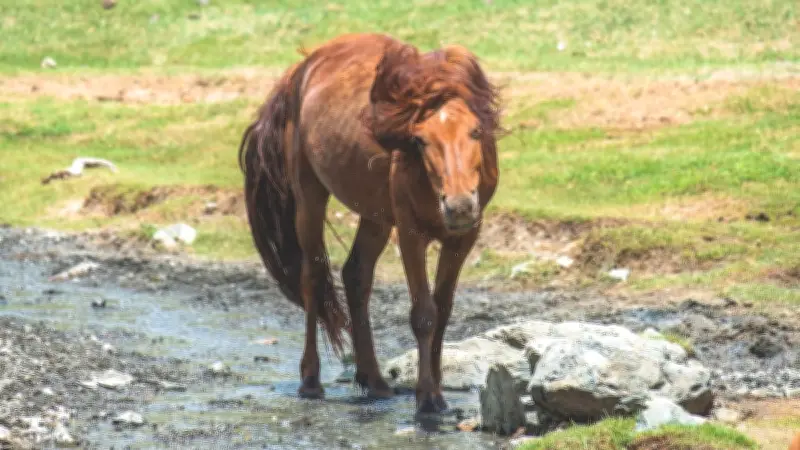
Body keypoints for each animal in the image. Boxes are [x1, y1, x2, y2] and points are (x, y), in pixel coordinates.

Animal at [238, 32, 502, 414]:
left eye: (476, 131)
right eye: (420, 139)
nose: (459, 206)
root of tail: (302, 69)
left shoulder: (462, 239)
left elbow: (443, 310)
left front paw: (436, 388)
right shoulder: (410, 234)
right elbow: (424, 314)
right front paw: (427, 397)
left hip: (375, 216)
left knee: (355, 275)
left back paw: (373, 380)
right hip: (310, 198)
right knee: (313, 278)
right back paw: (311, 381)